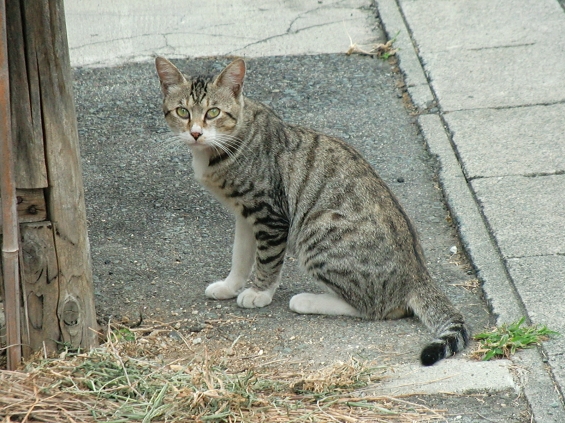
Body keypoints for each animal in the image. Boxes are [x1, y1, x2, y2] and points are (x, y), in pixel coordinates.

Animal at [154, 57, 468, 368]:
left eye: (213, 112)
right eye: (182, 111)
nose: (195, 133)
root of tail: (417, 274)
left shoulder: (270, 214)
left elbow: (267, 260)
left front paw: (259, 293)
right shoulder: (244, 215)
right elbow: (240, 256)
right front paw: (230, 286)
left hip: (317, 230)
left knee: (375, 307)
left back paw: (307, 300)